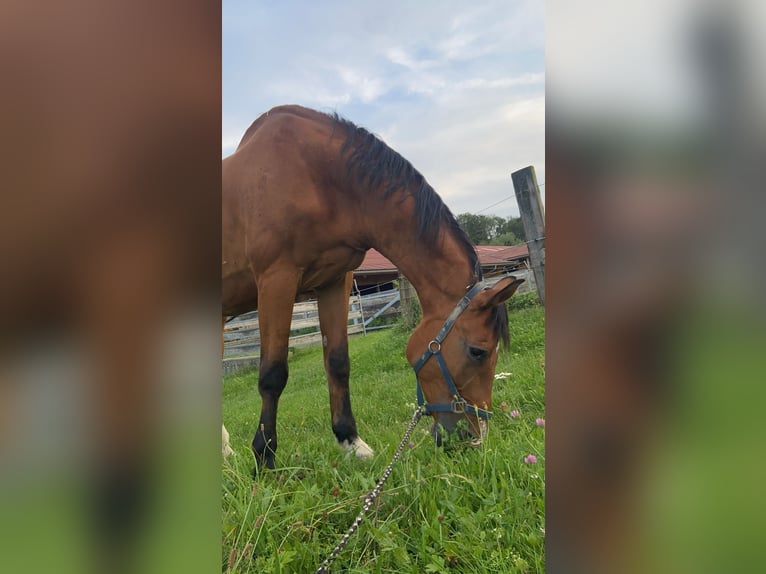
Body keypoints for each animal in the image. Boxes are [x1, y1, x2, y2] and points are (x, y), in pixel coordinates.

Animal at [222, 106, 520, 470]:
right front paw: (264, 457)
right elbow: (272, 373)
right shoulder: (277, 277)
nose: (473, 439)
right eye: (478, 352)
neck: (314, 174)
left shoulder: (335, 280)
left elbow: (338, 363)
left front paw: (351, 442)